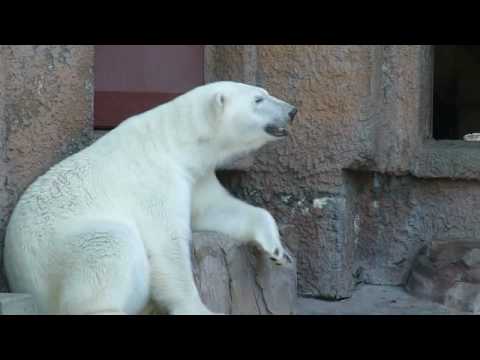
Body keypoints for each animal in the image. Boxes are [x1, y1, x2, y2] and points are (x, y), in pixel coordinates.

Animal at [2, 80, 296, 314]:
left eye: (265, 92)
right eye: (258, 100)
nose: (292, 111)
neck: (174, 143)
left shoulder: (196, 176)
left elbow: (214, 209)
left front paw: (277, 250)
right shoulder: (154, 180)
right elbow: (167, 243)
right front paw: (196, 308)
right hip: (55, 257)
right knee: (109, 244)